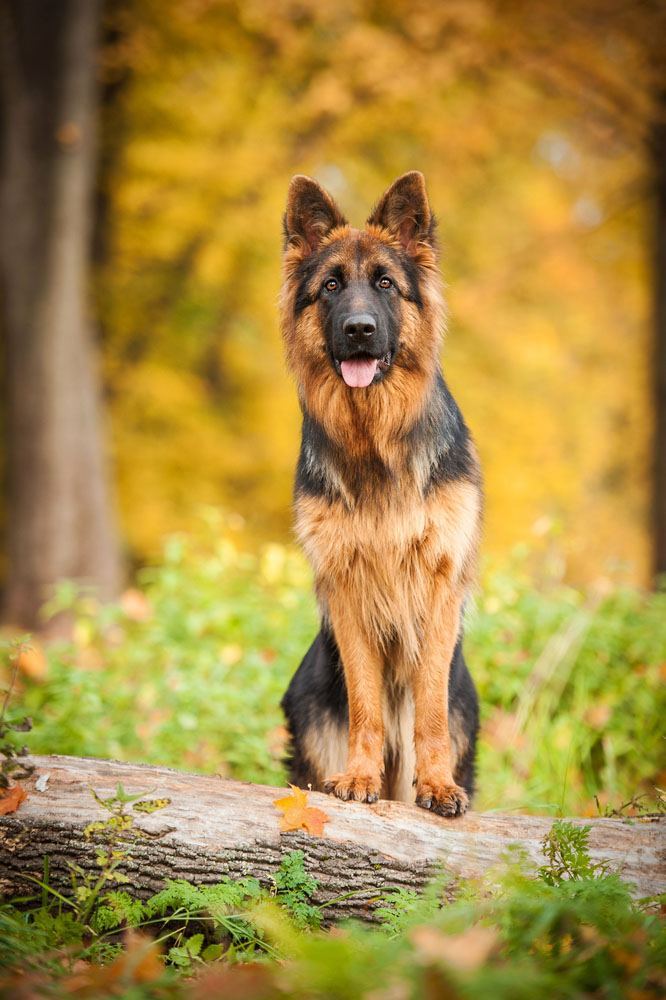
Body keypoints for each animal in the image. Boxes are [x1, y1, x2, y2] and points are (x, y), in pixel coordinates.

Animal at [278, 170, 480, 812]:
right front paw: (361, 776)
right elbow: (365, 698)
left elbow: (430, 707)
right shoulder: (347, 585)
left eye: (386, 283)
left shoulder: (439, 583)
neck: (376, 442)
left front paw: (436, 783)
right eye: (331, 286)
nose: (359, 330)